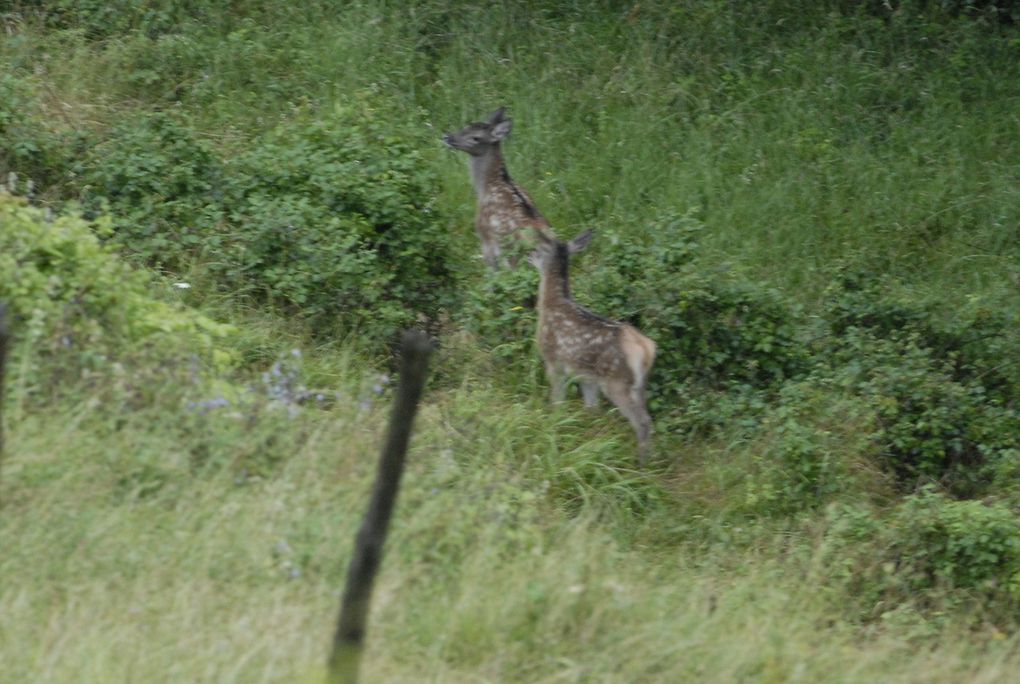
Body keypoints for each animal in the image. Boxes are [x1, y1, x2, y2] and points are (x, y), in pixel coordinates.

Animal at [440, 106, 550, 267]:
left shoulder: (484, 235)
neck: (486, 186)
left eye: (476, 138)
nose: (447, 137)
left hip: (508, 254)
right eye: (465, 126)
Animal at [530, 230, 656, 464]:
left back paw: (640, 462)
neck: (549, 305)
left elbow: (557, 399)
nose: (529, 254)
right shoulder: (586, 376)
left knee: (642, 421)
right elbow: (591, 408)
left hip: (616, 380)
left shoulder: (552, 360)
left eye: (540, 248)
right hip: (638, 383)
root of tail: (646, 349)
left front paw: (554, 423)